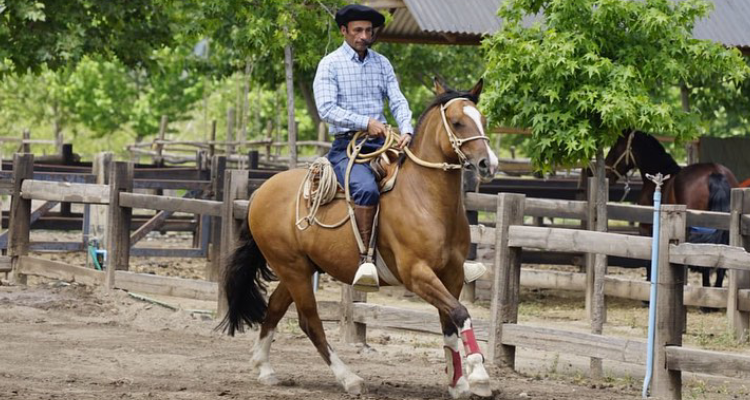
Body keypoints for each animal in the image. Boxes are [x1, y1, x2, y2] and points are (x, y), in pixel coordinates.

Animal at [219, 78, 500, 396]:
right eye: (456, 122)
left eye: (483, 119)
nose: (488, 163)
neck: (425, 200)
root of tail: (260, 192)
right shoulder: (417, 274)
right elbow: (461, 313)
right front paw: (479, 375)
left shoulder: (452, 275)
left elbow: (450, 324)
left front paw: (458, 382)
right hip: (292, 269)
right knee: (309, 321)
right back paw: (349, 378)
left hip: (301, 268)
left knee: (276, 307)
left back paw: (264, 367)